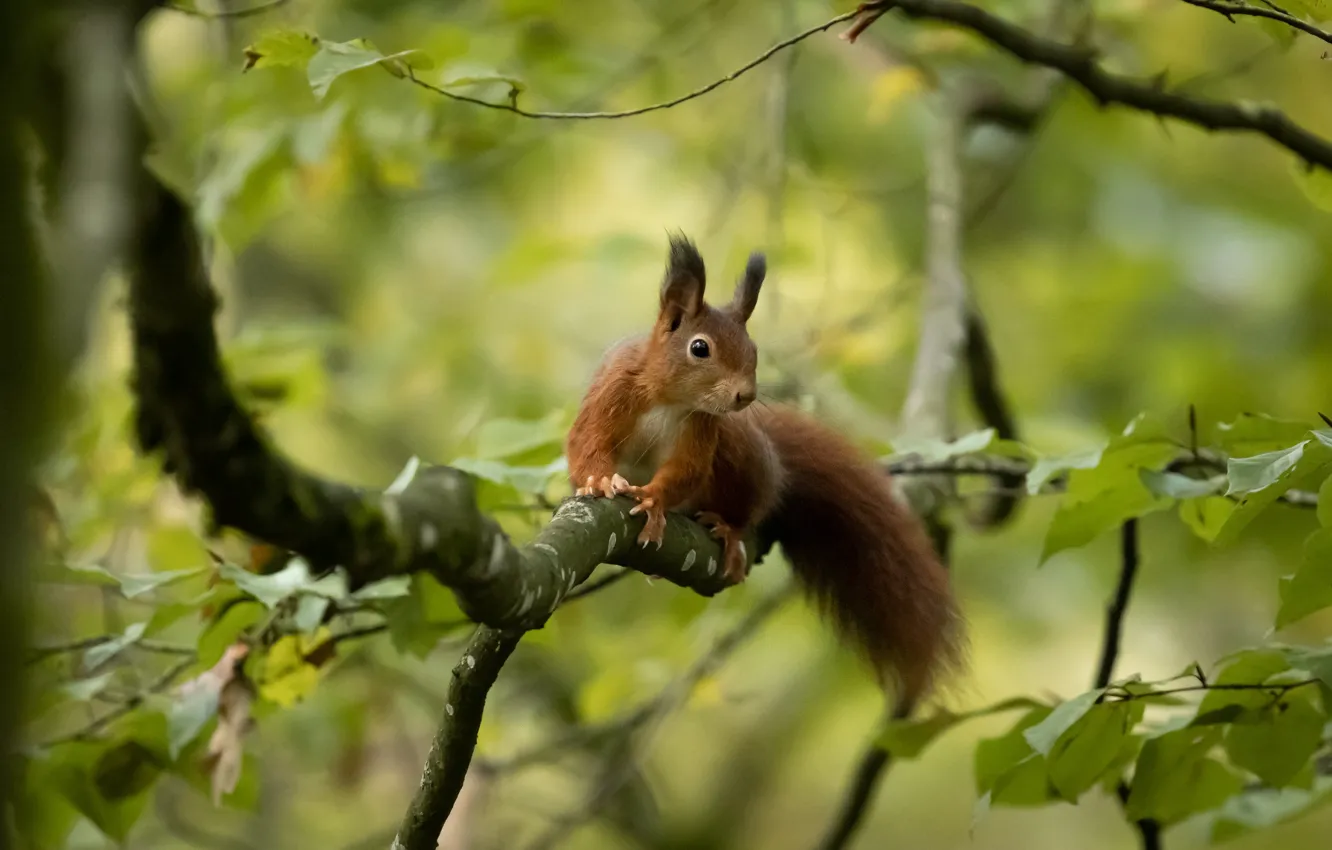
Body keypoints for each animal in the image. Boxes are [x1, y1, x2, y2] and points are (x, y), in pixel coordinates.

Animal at [567, 234, 964, 703]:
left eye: (754, 350)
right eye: (699, 348)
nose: (746, 395)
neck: (671, 397)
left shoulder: (704, 428)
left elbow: (686, 470)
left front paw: (653, 499)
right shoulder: (613, 392)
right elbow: (585, 442)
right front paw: (598, 478)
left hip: (740, 455)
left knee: (748, 505)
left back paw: (730, 529)